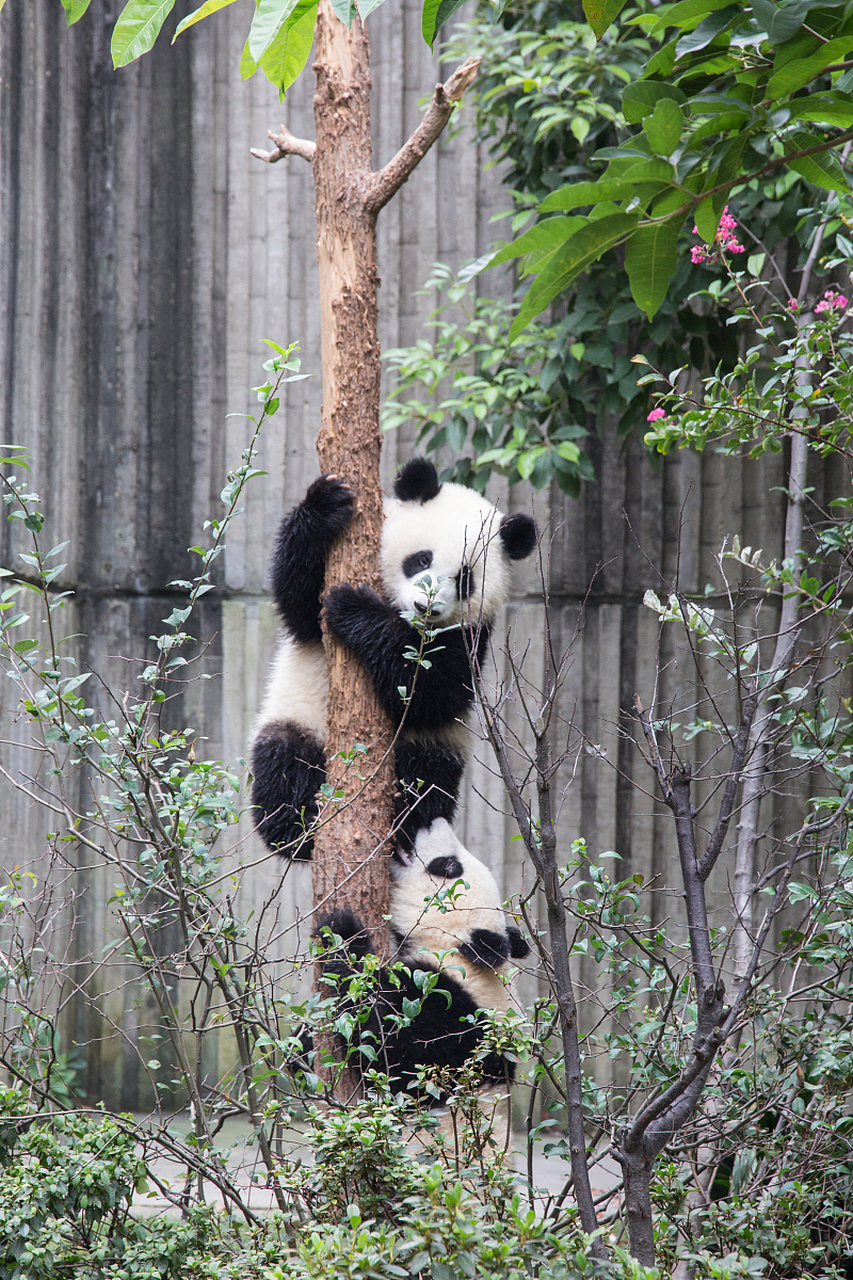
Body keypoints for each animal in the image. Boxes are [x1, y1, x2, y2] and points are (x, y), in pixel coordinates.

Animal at [249, 460, 535, 860]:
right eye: (421, 559)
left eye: (465, 580)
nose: (425, 608)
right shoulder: (309, 620)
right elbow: (300, 603)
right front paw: (326, 504)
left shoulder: (473, 637)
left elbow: (433, 692)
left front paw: (353, 606)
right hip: (297, 718)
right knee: (284, 765)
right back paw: (297, 826)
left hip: (434, 748)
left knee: (427, 781)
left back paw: (403, 824)